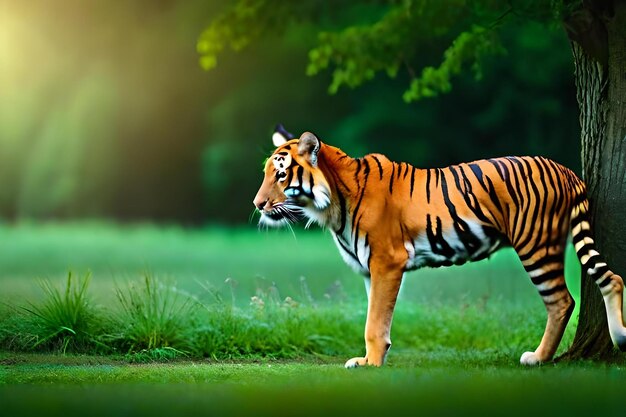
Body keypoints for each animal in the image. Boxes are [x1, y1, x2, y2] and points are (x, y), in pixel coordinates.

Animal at [251, 125, 620, 366]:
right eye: (266, 172)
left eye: (281, 175)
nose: (257, 204)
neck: (332, 205)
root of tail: (568, 171)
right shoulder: (371, 270)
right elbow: (375, 317)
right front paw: (372, 358)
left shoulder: (387, 261)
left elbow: (374, 321)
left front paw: (371, 363)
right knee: (611, 280)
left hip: (536, 245)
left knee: (561, 301)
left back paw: (538, 358)